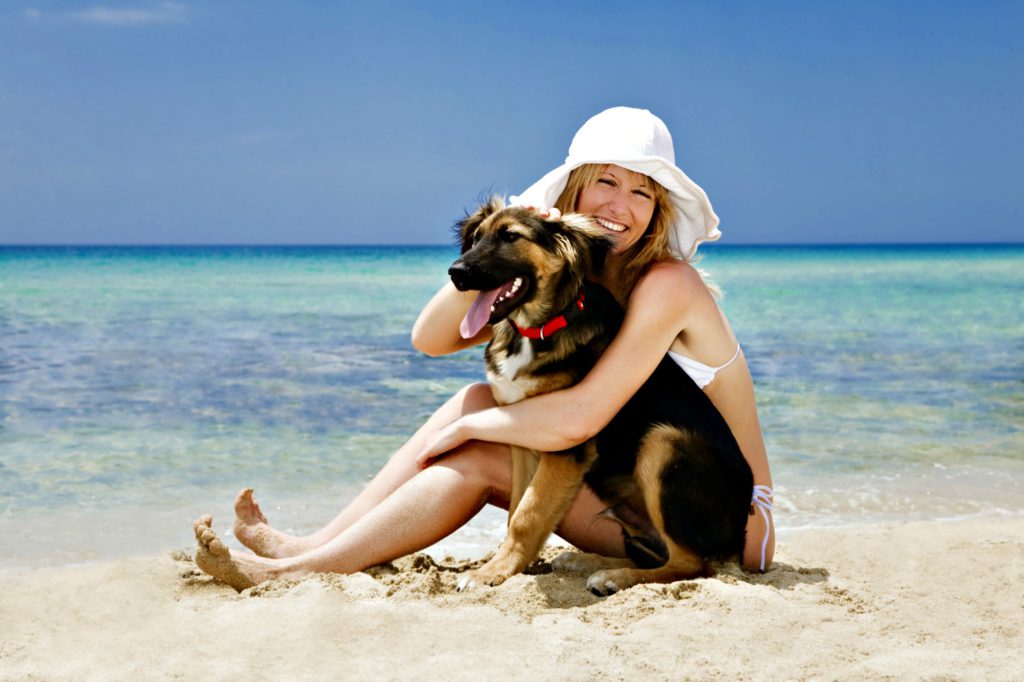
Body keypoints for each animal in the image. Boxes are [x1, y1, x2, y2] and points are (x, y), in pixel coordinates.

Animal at [448, 196, 753, 589]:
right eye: (476, 238)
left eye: (511, 236)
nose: (456, 273)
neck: (537, 330)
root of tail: (741, 538)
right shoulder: (522, 435)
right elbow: (518, 508)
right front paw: (509, 566)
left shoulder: (564, 445)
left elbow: (528, 514)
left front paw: (491, 572)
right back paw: (588, 561)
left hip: (664, 442)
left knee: (690, 563)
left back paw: (614, 576)